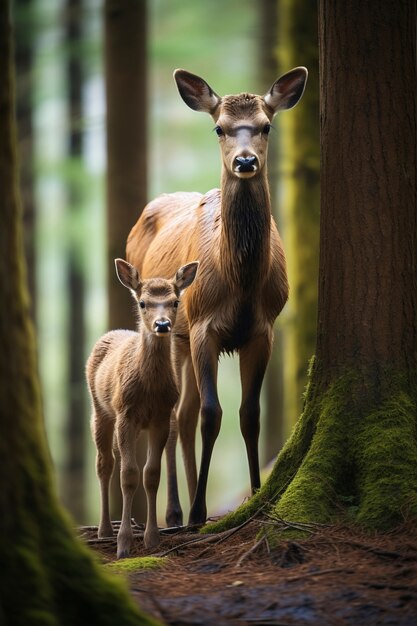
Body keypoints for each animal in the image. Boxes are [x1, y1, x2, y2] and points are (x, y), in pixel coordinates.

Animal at [127, 66, 306, 524]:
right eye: (219, 128)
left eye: (266, 125)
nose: (245, 161)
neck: (240, 281)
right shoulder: (204, 326)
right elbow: (212, 415)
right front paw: (196, 512)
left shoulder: (263, 330)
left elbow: (249, 415)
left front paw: (258, 494)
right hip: (172, 330)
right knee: (177, 415)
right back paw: (178, 512)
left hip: (182, 337)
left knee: (185, 412)